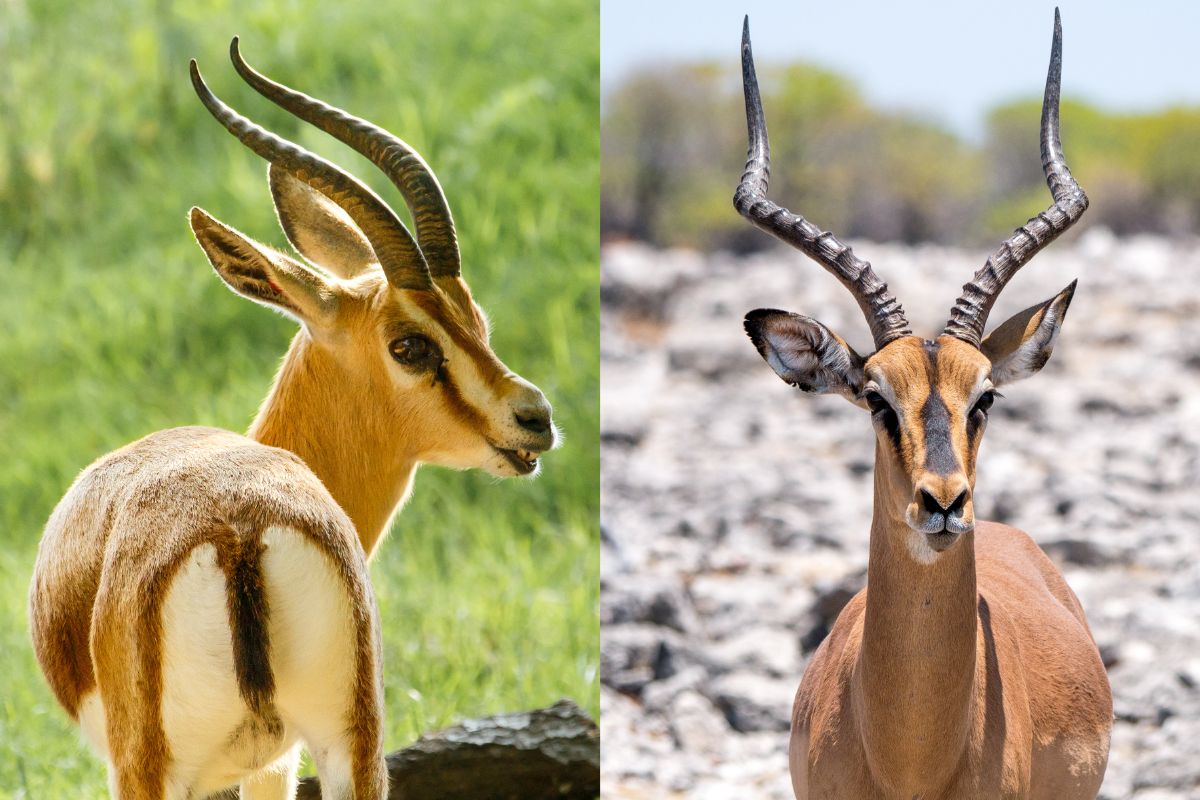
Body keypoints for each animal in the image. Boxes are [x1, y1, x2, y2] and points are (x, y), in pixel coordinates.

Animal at [29, 40, 556, 800]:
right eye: (411, 343)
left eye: (473, 320)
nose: (535, 419)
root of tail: (239, 527)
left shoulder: (261, 763)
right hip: (350, 749)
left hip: (163, 768)